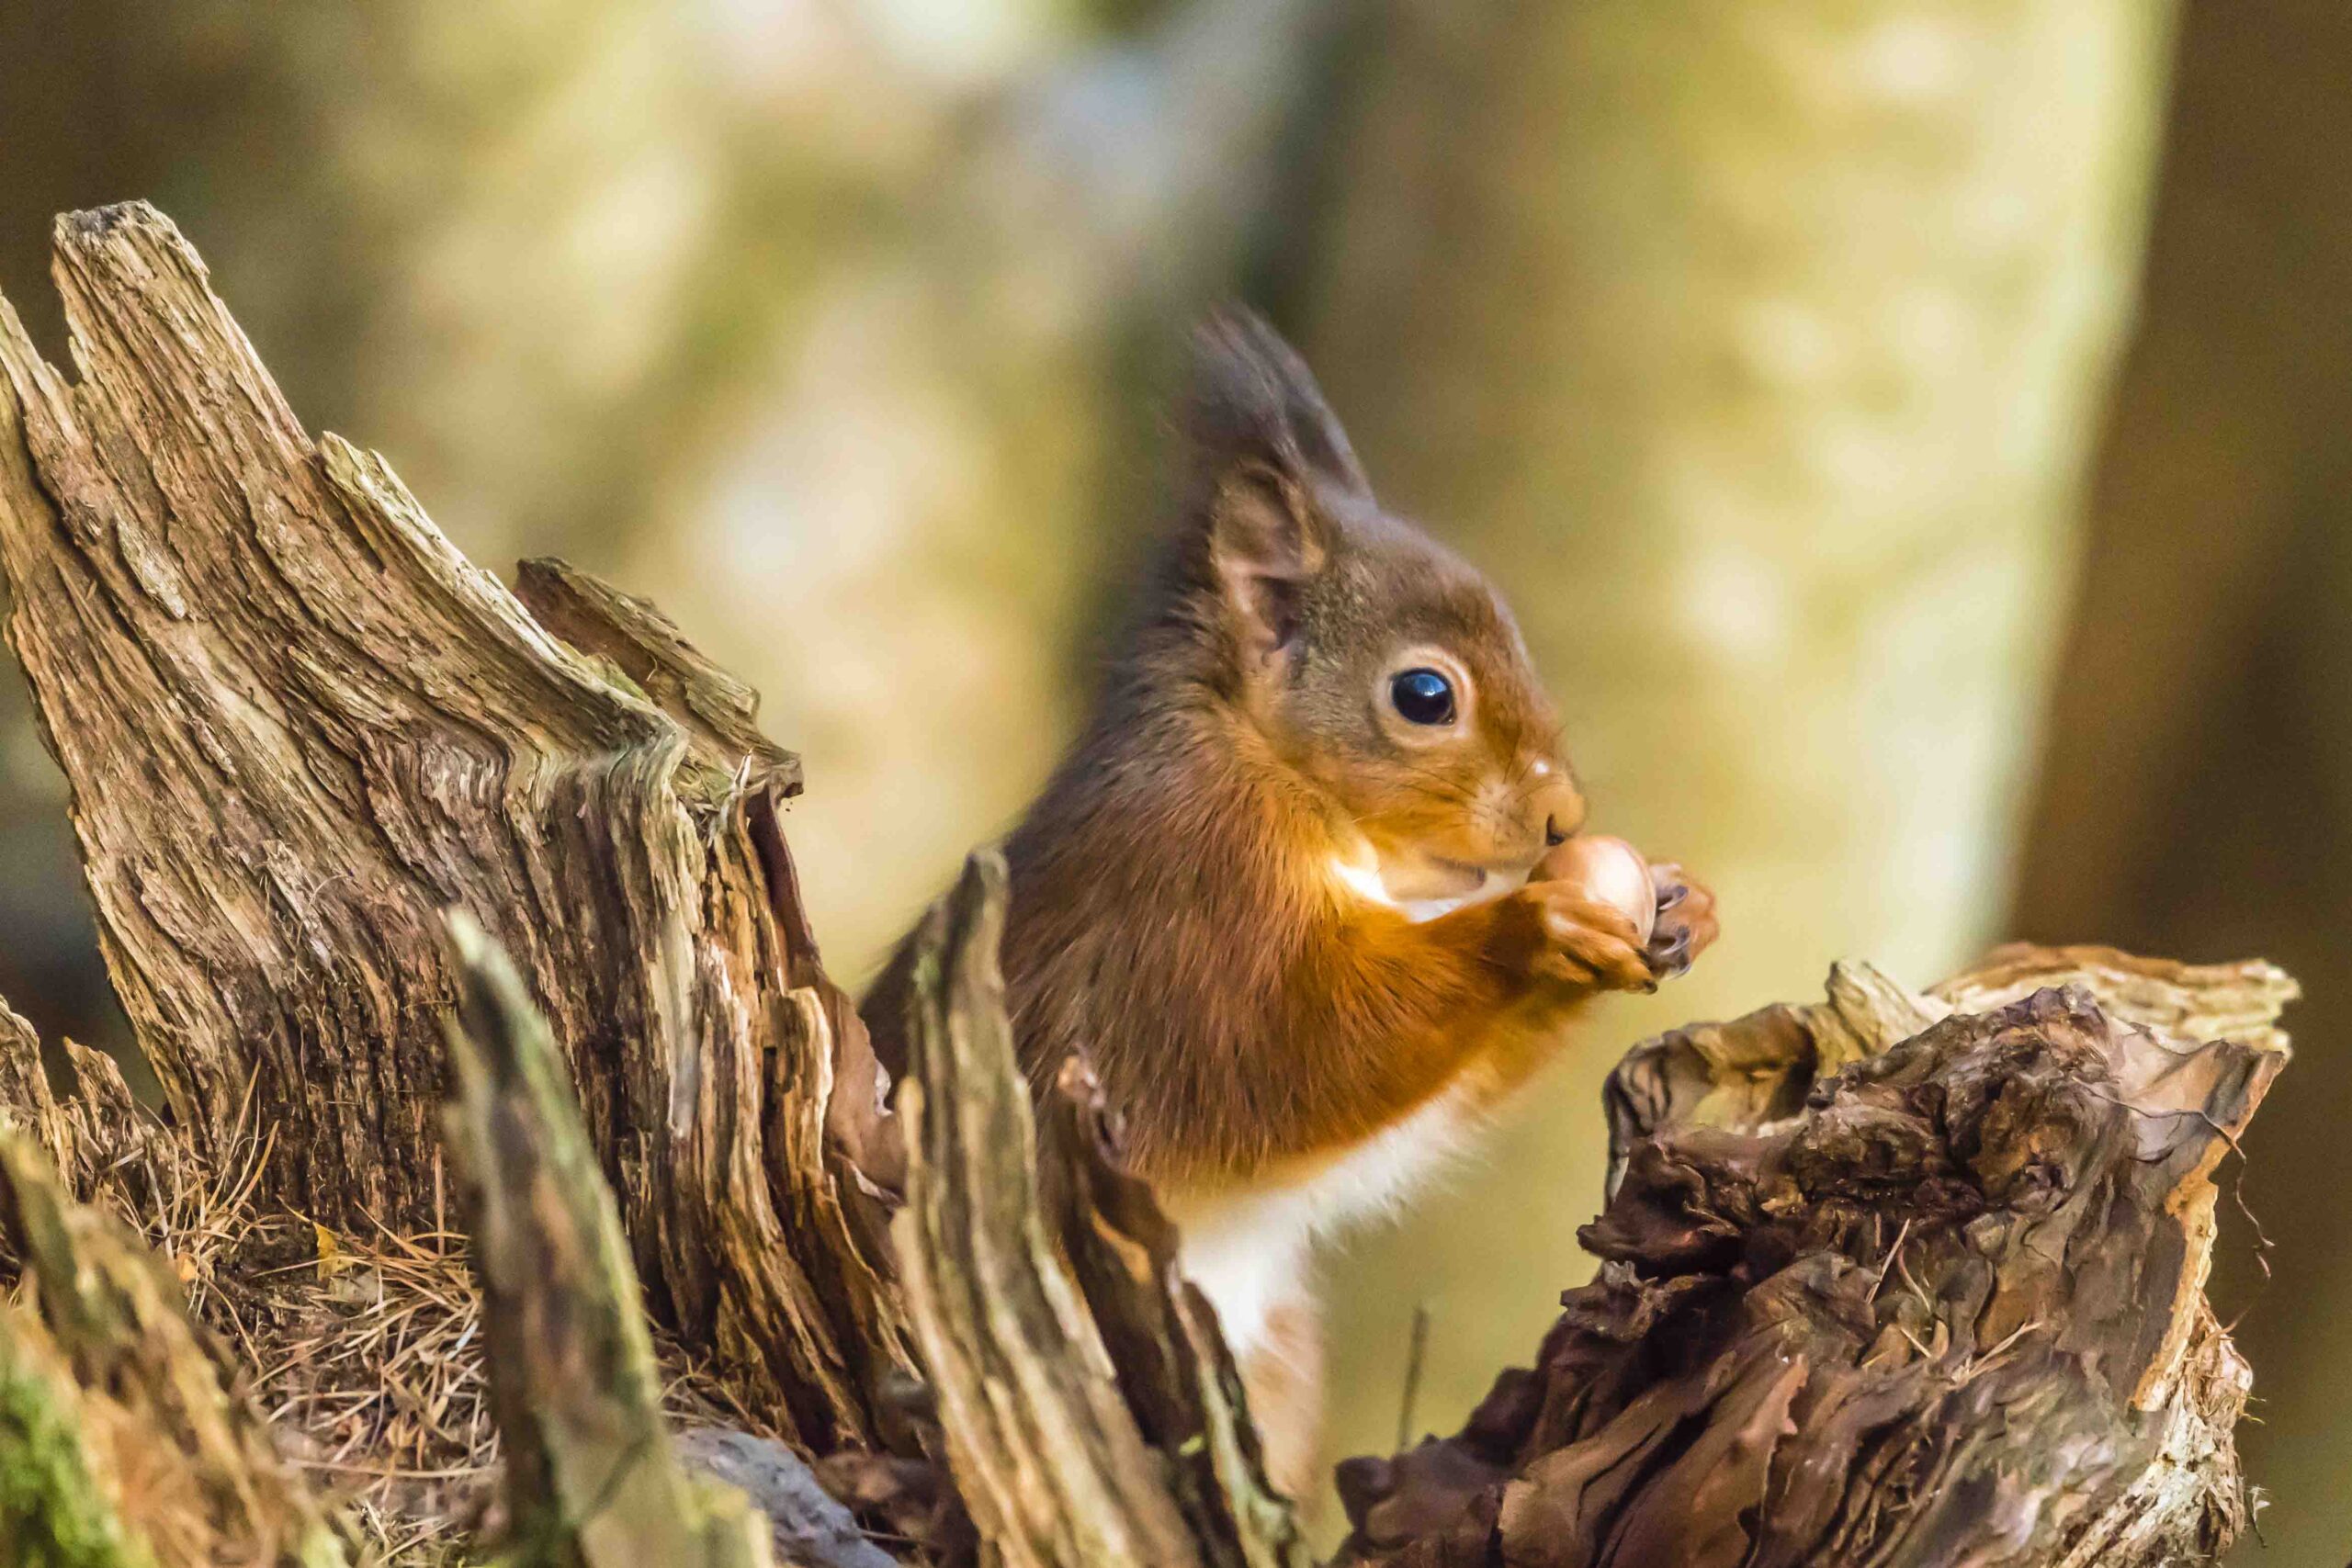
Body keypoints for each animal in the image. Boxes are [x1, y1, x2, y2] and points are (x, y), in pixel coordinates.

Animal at [865, 312, 1712, 1504]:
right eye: (1424, 696)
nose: (1563, 818)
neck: (1284, 780)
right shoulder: (1188, 896)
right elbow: (1288, 1058)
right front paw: (1533, 930)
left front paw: (1683, 904)